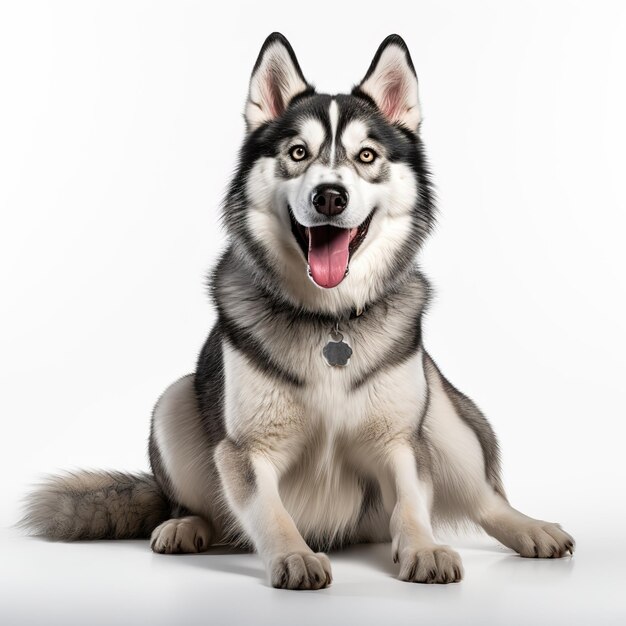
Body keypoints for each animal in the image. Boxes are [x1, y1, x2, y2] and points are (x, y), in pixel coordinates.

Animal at [23, 34, 572, 584]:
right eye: (298, 152)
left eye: (367, 155)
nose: (330, 195)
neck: (331, 319)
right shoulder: (246, 450)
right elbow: (269, 510)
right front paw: (294, 555)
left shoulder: (402, 441)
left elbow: (413, 502)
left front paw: (422, 548)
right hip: (174, 402)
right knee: (202, 506)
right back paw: (186, 525)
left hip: (442, 414)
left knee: (482, 498)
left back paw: (531, 528)